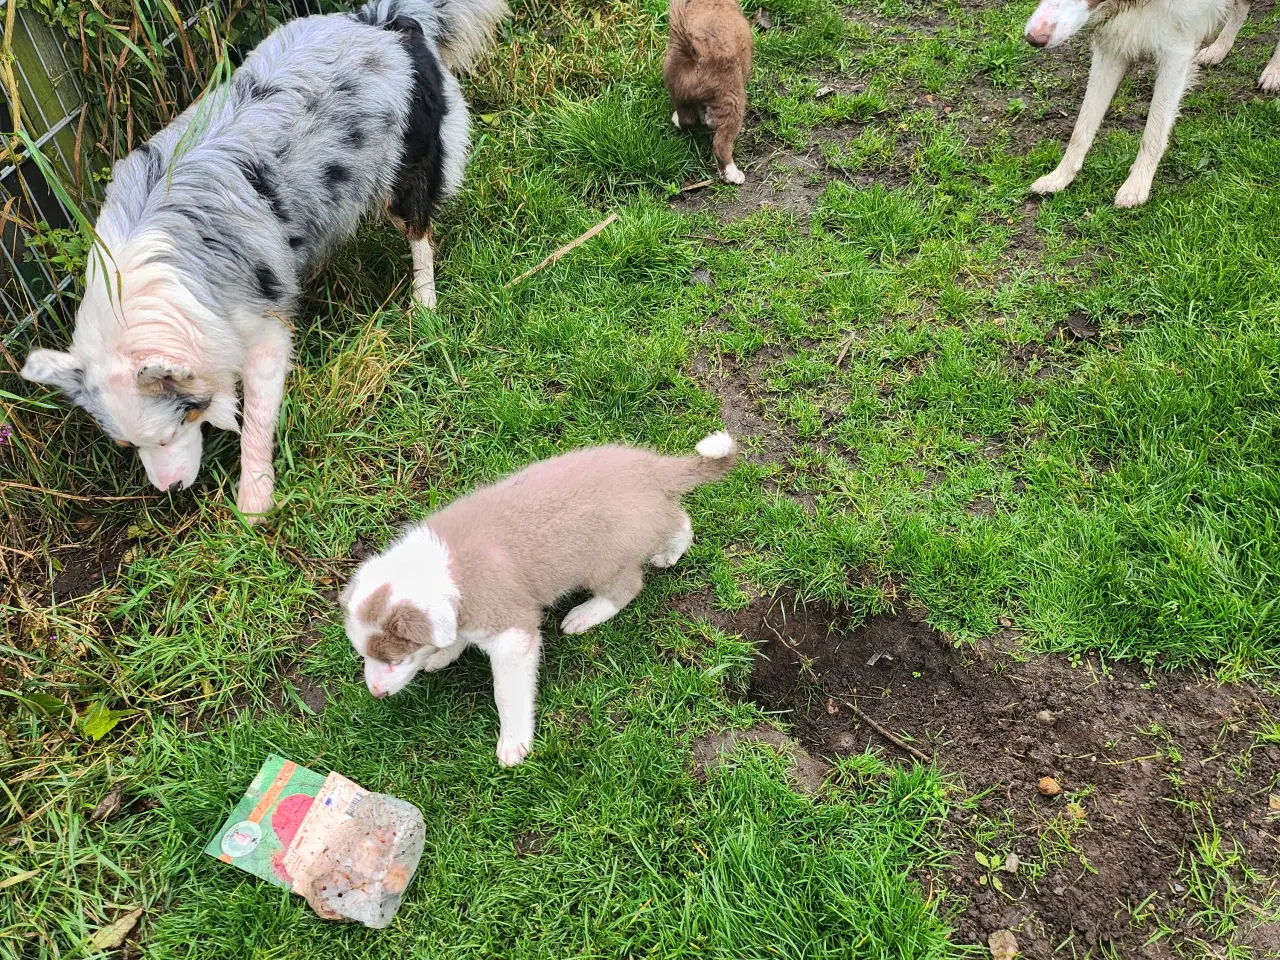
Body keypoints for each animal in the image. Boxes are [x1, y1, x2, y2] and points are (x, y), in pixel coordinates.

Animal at [17, 0, 504, 519]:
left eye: (175, 428)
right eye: (129, 447)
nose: (172, 490)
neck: (146, 288)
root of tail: (384, 22)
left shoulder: (263, 331)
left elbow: (256, 419)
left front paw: (253, 502)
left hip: (407, 169)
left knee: (420, 232)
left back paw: (423, 303)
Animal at [340, 435, 742, 768]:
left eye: (395, 660)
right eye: (365, 655)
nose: (375, 693)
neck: (439, 571)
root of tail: (652, 469)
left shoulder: (512, 633)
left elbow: (507, 695)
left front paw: (513, 744)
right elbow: (455, 635)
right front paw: (443, 653)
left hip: (604, 562)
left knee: (628, 587)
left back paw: (585, 614)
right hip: (649, 523)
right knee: (680, 520)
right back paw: (670, 553)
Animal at [665, 0, 752, 185]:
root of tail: (695, 52)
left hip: (677, 88)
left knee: (688, 118)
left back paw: (679, 119)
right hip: (733, 99)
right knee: (721, 144)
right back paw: (733, 175)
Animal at [1024, 0, 1233, 209]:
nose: (1033, 38)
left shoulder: (1177, 52)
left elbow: (1153, 133)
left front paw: (1137, 184)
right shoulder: (1112, 46)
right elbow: (1082, 127)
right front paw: (1060, 175)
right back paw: (1219, 49)